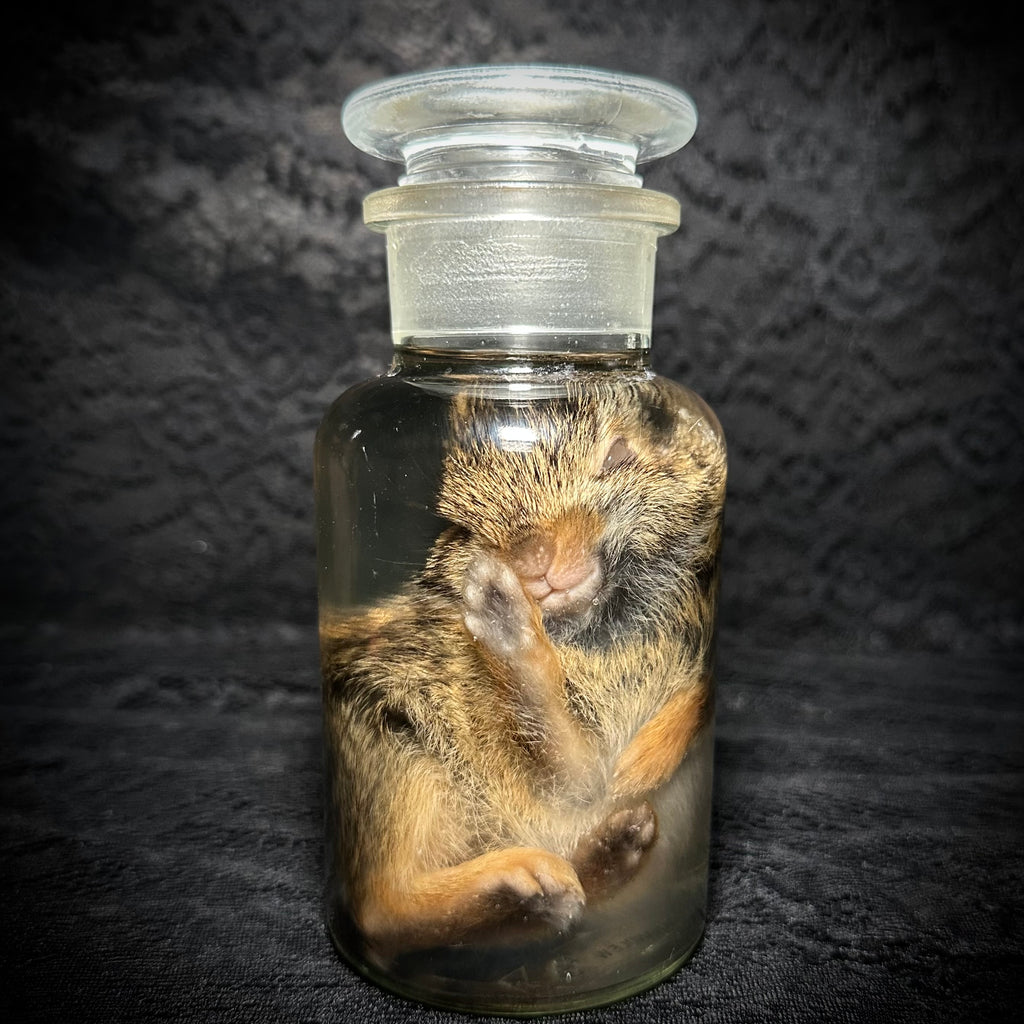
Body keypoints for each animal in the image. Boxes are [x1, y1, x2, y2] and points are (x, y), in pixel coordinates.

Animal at [320, 373, 726, 960]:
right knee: (381, 910)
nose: (532, 563)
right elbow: (575, 762)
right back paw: (528, 879)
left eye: (619, 455)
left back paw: (606, 848)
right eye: (459, 525)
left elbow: (694, 700)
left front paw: (643, 762)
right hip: (396, 742)